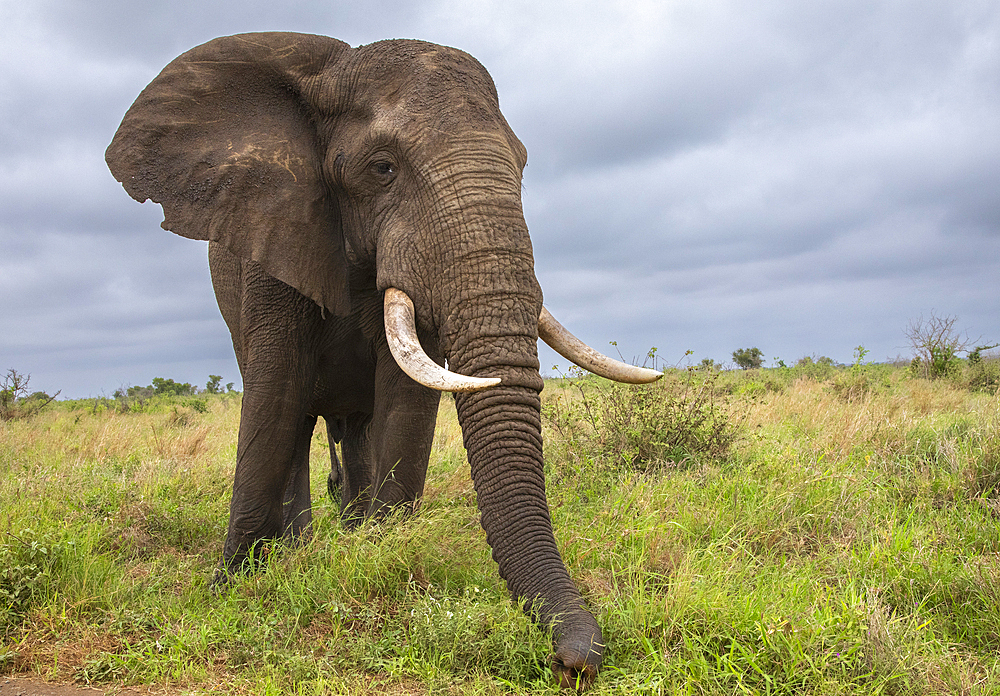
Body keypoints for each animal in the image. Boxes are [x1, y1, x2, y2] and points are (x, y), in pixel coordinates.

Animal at [105, 31, 660, 684]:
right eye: (382, 168)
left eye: (522, 165)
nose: (576, 662)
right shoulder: (274, 232)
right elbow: (274, 396)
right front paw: (231, 587)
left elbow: (405, 403)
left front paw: (380, 559)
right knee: (298, 421)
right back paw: (300, 548)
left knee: (356, 427)